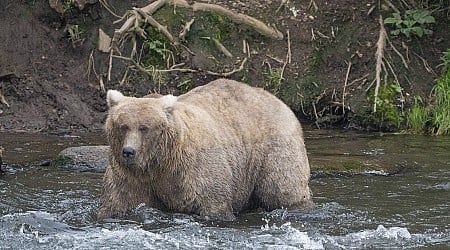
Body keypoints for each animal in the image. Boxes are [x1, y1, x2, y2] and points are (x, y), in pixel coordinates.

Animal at [98, 77, 312, 219]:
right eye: (123, 126)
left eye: (144, 127)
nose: (128, 152)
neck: (159, 163)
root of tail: (278, 100)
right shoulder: (130, 177)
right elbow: (119, 202)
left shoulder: (194, 170)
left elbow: (212, 202)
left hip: (273, 149)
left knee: (282, 188)